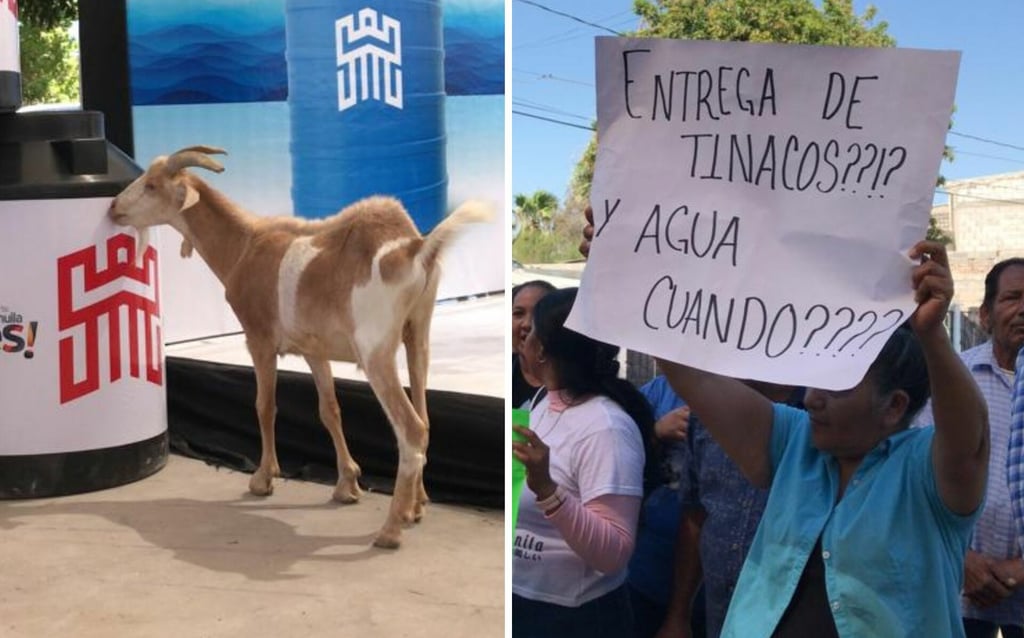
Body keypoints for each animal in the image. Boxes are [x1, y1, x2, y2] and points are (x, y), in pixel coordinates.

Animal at [111, 146, 491, 548]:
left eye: (151, 185)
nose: (114, 208)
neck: (244, 245)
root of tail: (413, 248)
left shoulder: (258, 338)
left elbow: (264, 406)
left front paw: (263, 479)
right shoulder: (314, 350)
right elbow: (329, 410)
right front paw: (347, 484)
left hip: (376, 353)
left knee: (411, 429)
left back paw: (391, 528)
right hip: (418, 334)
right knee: (425, 418)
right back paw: (417, 505)